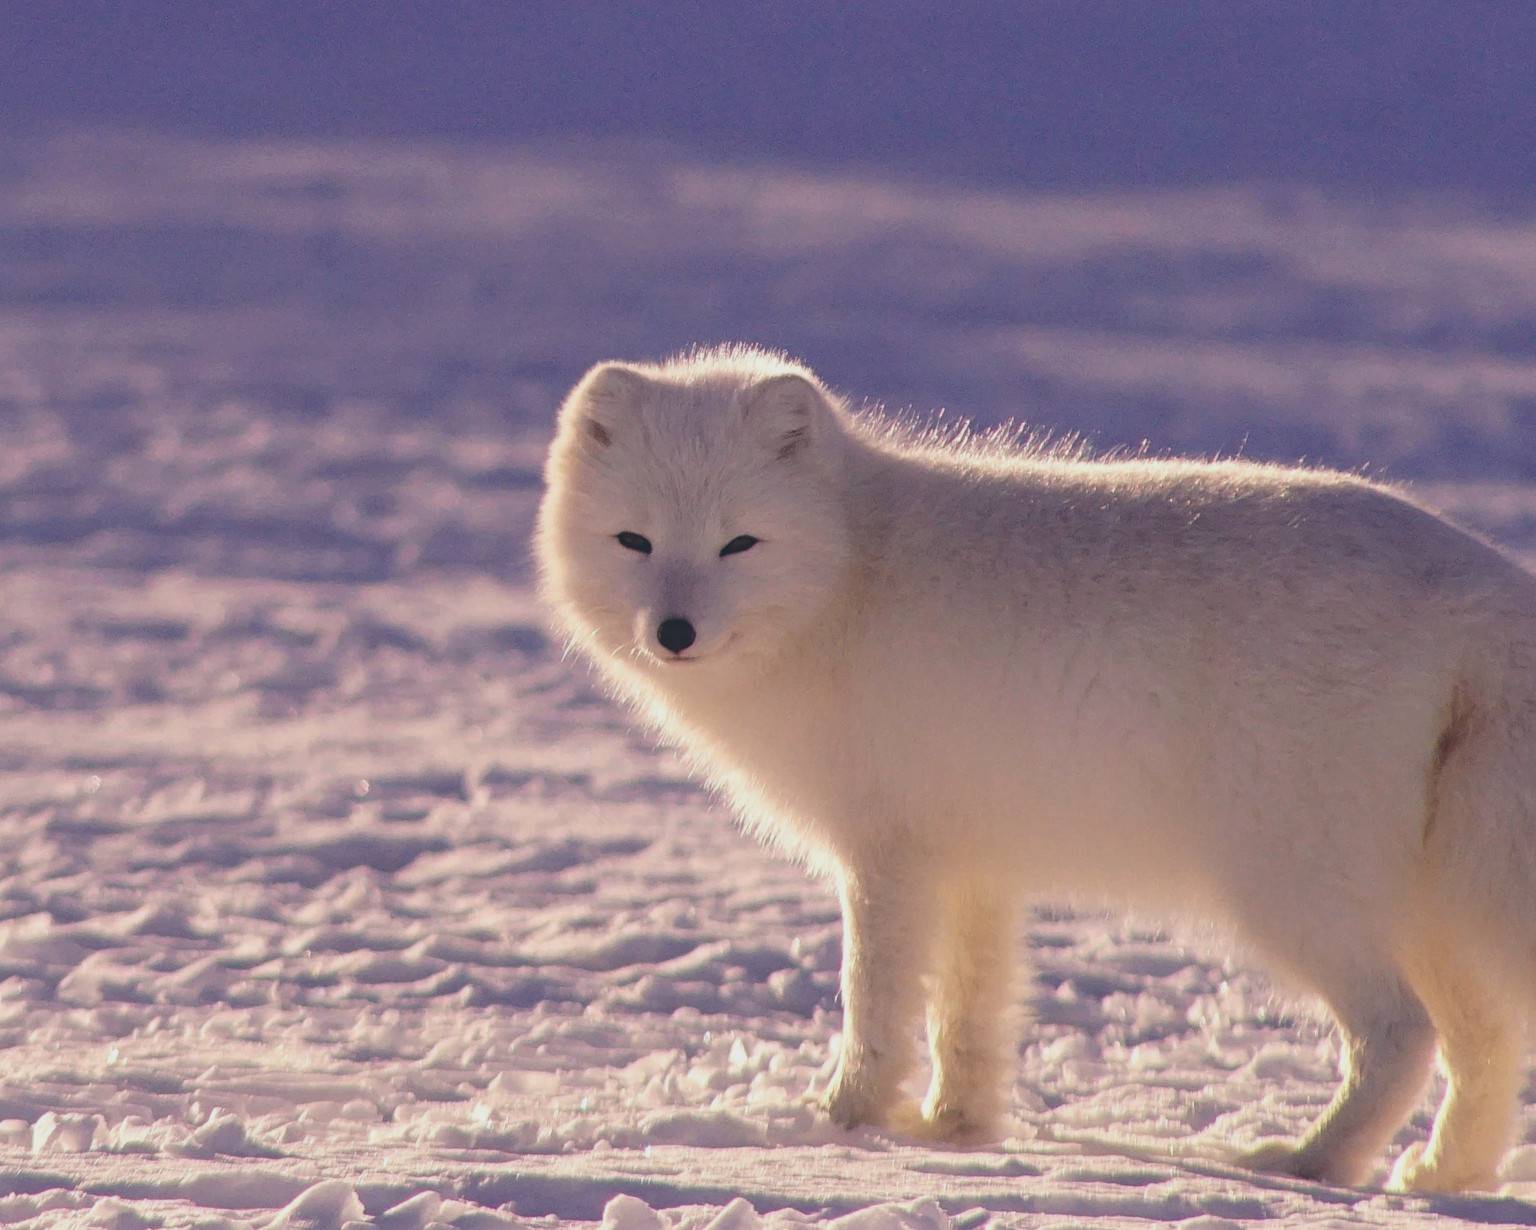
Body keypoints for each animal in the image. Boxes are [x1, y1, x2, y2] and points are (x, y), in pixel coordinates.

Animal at [534, 342, 1536, 1191]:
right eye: (634, 542)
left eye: (739, 543)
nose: (673, 632)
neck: (851, 571)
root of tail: (1484, 584)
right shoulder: (976, 863)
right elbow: (969, 1012)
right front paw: (956, 1129)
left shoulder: (887, 855)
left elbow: (876, 1001)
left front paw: (845, 1123)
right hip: (1430, 906)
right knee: (1486, 1043)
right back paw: (1444, 1175)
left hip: (1292, 888)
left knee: (1403, 1034)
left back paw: (1311, 1163)